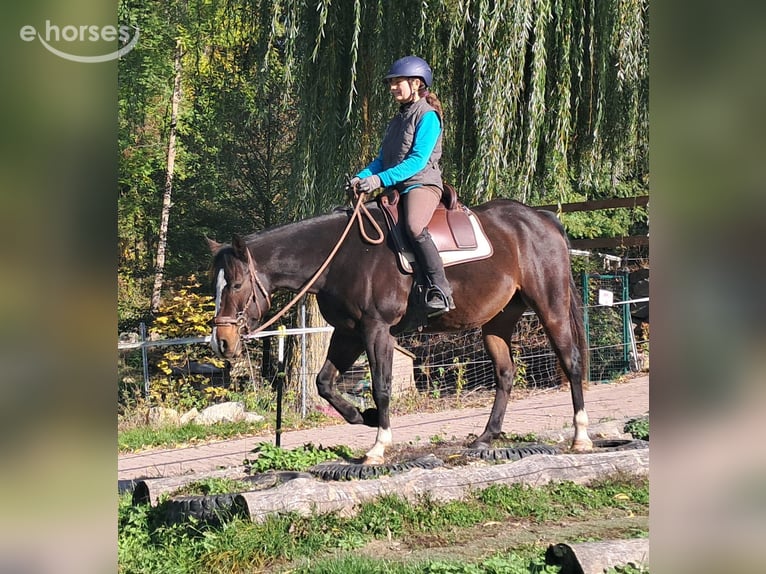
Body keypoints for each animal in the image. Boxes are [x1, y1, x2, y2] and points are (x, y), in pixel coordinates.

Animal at [208, 198, 592, 464]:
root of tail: (539, 218)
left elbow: (381, 386)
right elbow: (324, 383)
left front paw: (378, 446)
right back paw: (486, 437)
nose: (222, 342)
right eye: (216, 285)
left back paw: (581, 436)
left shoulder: (377, 330)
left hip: (550, 307)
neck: (341, 257)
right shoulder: (348, 333)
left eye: (237, 284)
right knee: (505, 374)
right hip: (497, 321)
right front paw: (363, 417)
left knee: (571, 361)